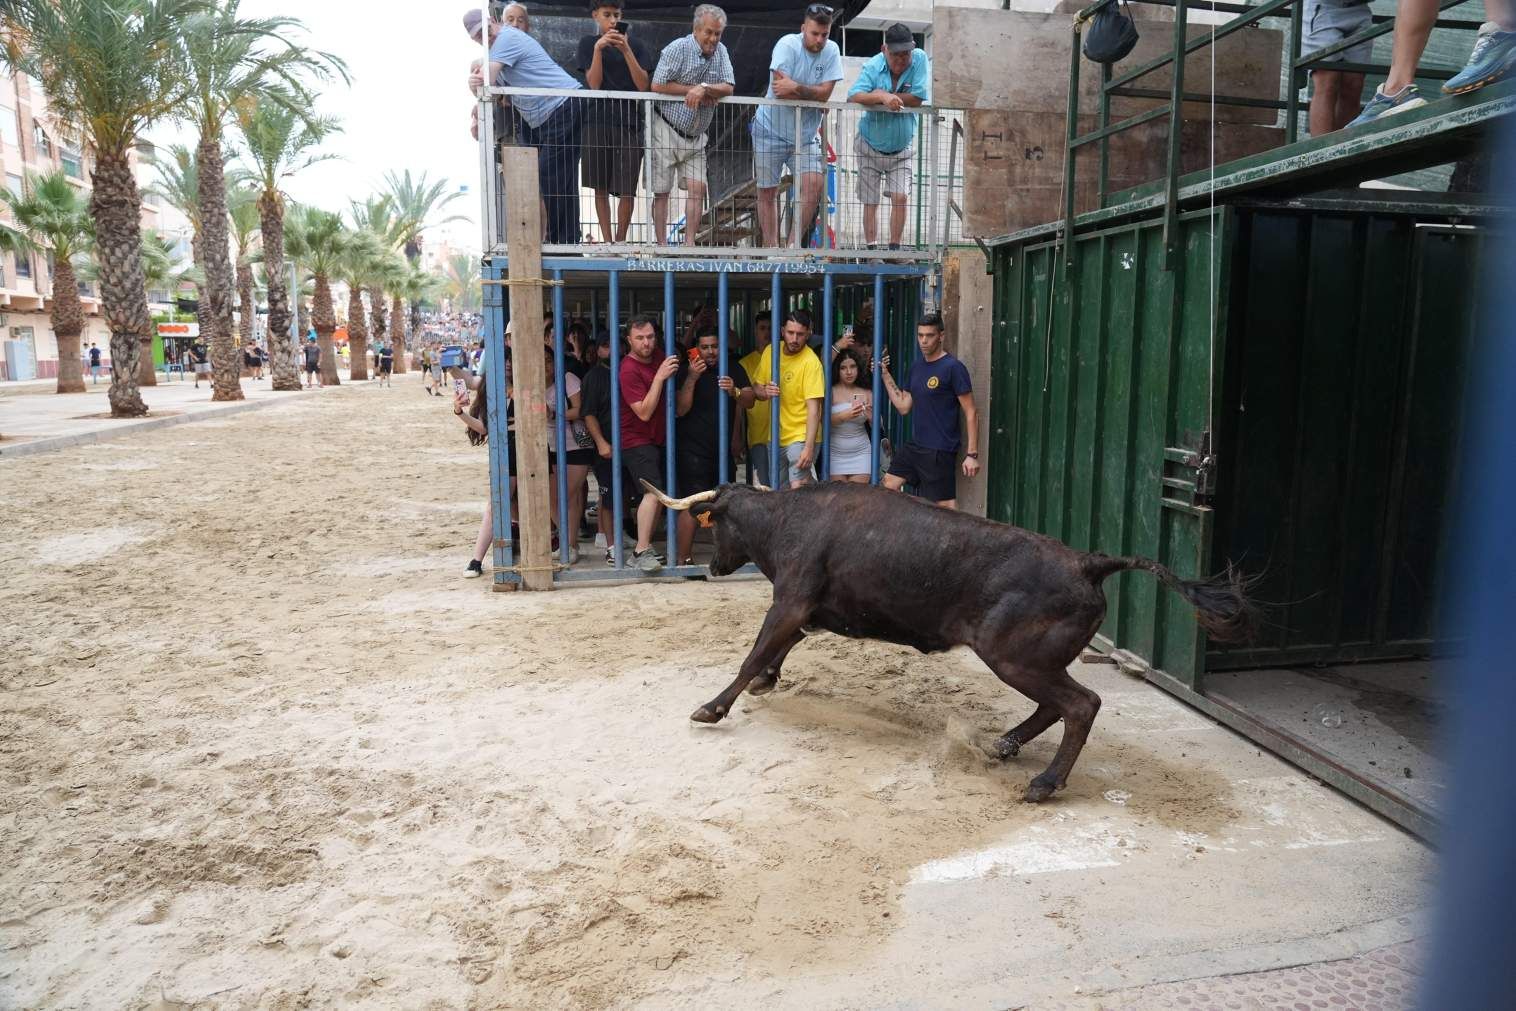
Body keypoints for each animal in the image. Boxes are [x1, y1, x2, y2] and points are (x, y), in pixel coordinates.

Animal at [642, 478, 1255, 800]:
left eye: (715, 523)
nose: (714, 566)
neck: (785, 519)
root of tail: (1087, 563)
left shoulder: (790, 601)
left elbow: (753, 654)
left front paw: (712, 707)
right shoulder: (809, 611)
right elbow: (777, 650)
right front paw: (766, 682)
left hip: (1014, 657)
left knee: (1081, 704)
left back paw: (1043, 782)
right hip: (1030, 660)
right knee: (1057, 706)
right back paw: (1004, 745)